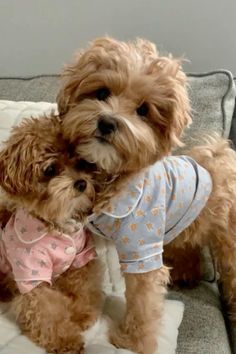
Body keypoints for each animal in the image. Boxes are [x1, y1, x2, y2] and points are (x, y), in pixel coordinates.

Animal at [0, 115, 103, 352]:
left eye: (81, 162)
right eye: (50, 170)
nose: (81, 183)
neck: (57, 225)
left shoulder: (80, 259)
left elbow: (83, 288)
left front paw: (81, 315)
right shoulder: (32, 274)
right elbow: (47, 310)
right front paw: (66, 340)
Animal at [56, 36, 236, 354]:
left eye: (143, 110)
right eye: (101, 92)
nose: (107, 123)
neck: (114, 178)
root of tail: (220, 158)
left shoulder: (142, 251)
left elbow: (142, 301)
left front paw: (131, 341)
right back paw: (185, 276)